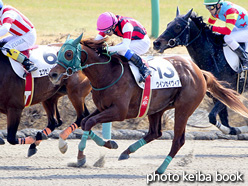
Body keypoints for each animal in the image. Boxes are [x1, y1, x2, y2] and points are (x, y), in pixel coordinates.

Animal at [48, 33, 248, 174]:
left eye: (68, 53)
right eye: (58, 53)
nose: (53, 74)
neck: (108, 73)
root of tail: (199, 71)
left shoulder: (119, 111)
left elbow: (88, 122)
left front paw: (81, 157)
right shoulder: (103, 107)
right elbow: (84, 122)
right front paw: (109, 144)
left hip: (183, 108)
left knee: (178, 140)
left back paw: (160, 169)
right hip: (155, 107)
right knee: (155, 132)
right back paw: (126, 152)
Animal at [153, 7, 248, 135]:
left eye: (177, 26)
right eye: (168, 24)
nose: (156, 43)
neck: (214, 56)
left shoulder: (231, 90)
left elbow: (213, 116)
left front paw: (238, 129)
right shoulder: (216, 95)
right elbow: (222, 120)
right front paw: (232, 130)